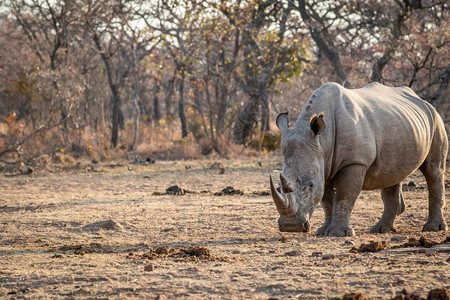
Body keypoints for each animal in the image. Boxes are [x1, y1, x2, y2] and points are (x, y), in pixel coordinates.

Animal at [272, 82, 448, 237]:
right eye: (279, 185)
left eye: (310, 185)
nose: (290, 226)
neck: (322, 142)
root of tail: (421, 100)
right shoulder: (323, 165)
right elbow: (326, 201)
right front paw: (322, 231)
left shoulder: (355, 162)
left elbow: (344, 196)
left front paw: (338, 233)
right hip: (403, 124)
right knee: (391, 174)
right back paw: (380, 230)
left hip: (436, 120)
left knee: (433, 170)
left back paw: (433, 228)